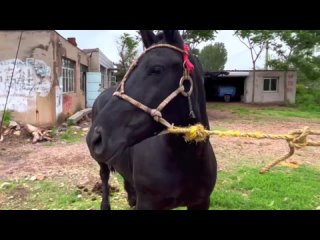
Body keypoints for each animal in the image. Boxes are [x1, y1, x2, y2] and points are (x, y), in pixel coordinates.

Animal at [86, 30, 218, 210]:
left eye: (156, 69)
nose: (94, 138)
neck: (186, 161)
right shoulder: (148, 204)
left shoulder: (201, 202)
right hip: (102, 162)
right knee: (104, 175)